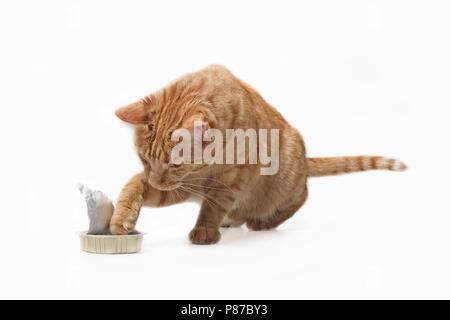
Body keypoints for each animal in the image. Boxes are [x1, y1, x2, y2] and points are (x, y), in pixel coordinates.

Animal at [110, 65, 406, 245]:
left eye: (175, 164)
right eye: (144, 159)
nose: (157, 180)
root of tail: (304, 159)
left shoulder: (229, 180)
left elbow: (213, 205)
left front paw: (205, 230)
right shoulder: (183, 186)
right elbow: (134, 184)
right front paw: (122, 217)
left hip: (287, 171)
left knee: (301, 196)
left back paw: (263, 221)